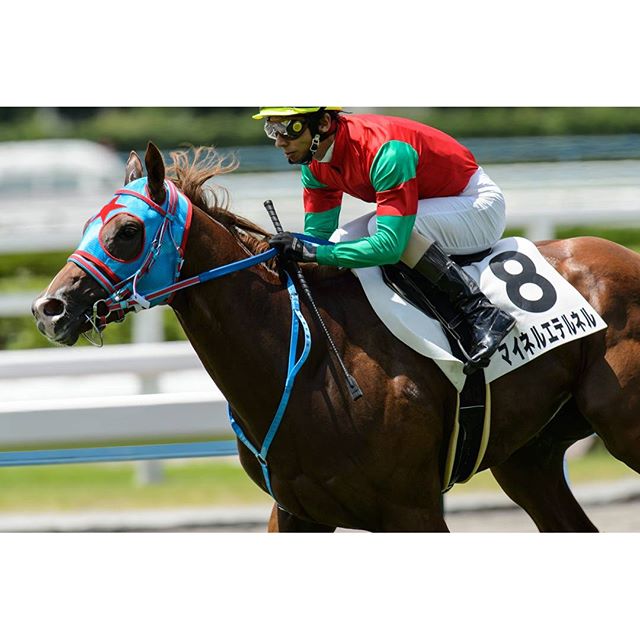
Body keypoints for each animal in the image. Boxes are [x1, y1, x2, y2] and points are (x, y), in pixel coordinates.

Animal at [32, 142, 640, 532]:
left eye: (127, 231)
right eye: (88, 224)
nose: (48, 309)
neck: (309, 364)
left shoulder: (413, 511)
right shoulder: (295, 513)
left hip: (620, 426)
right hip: (528, 457)